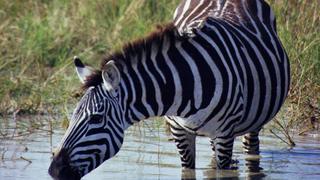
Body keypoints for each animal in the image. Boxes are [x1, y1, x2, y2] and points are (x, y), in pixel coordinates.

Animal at [48, 0, 290, 179]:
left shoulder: (224, 134)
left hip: (251, 123)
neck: (185, 87)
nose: (53, 171)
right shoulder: (179, 131)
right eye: (73, 116)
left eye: (97, 119)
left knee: (252, 150)